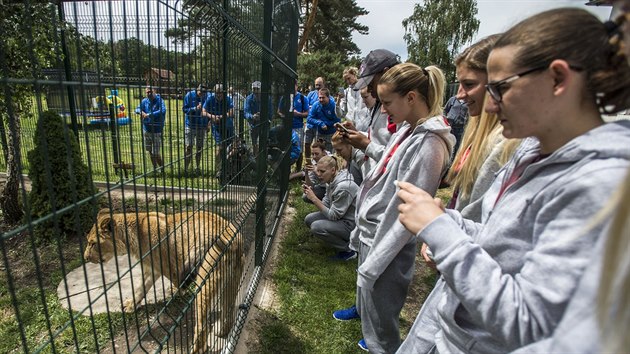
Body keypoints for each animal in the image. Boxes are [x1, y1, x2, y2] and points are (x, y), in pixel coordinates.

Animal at [84, 209, 242, 352]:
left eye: (92, 243)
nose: (85, 258)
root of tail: (228, 236)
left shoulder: (169, 267)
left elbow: (174, 282)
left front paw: (176, 291)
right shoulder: (151, 269)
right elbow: (140, 288)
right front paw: (131, 305)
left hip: (205, 284)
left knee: (202, 327)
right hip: (231, 280)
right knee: (229, 310)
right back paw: (221, 331)